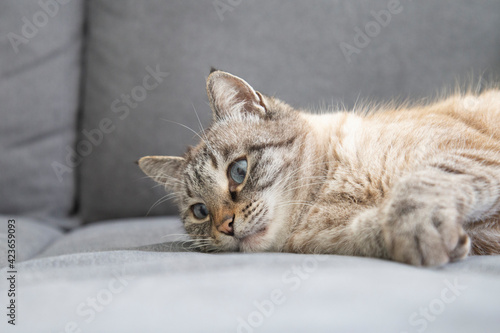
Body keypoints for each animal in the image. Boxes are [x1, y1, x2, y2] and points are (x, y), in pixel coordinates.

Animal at [138, 69, 500, 264]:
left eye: (238, 171)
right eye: (200, 211)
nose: (225, 226)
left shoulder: (469, 153)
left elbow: (419, 188)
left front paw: (419, 227)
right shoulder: (341, 236)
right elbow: (374, 227)